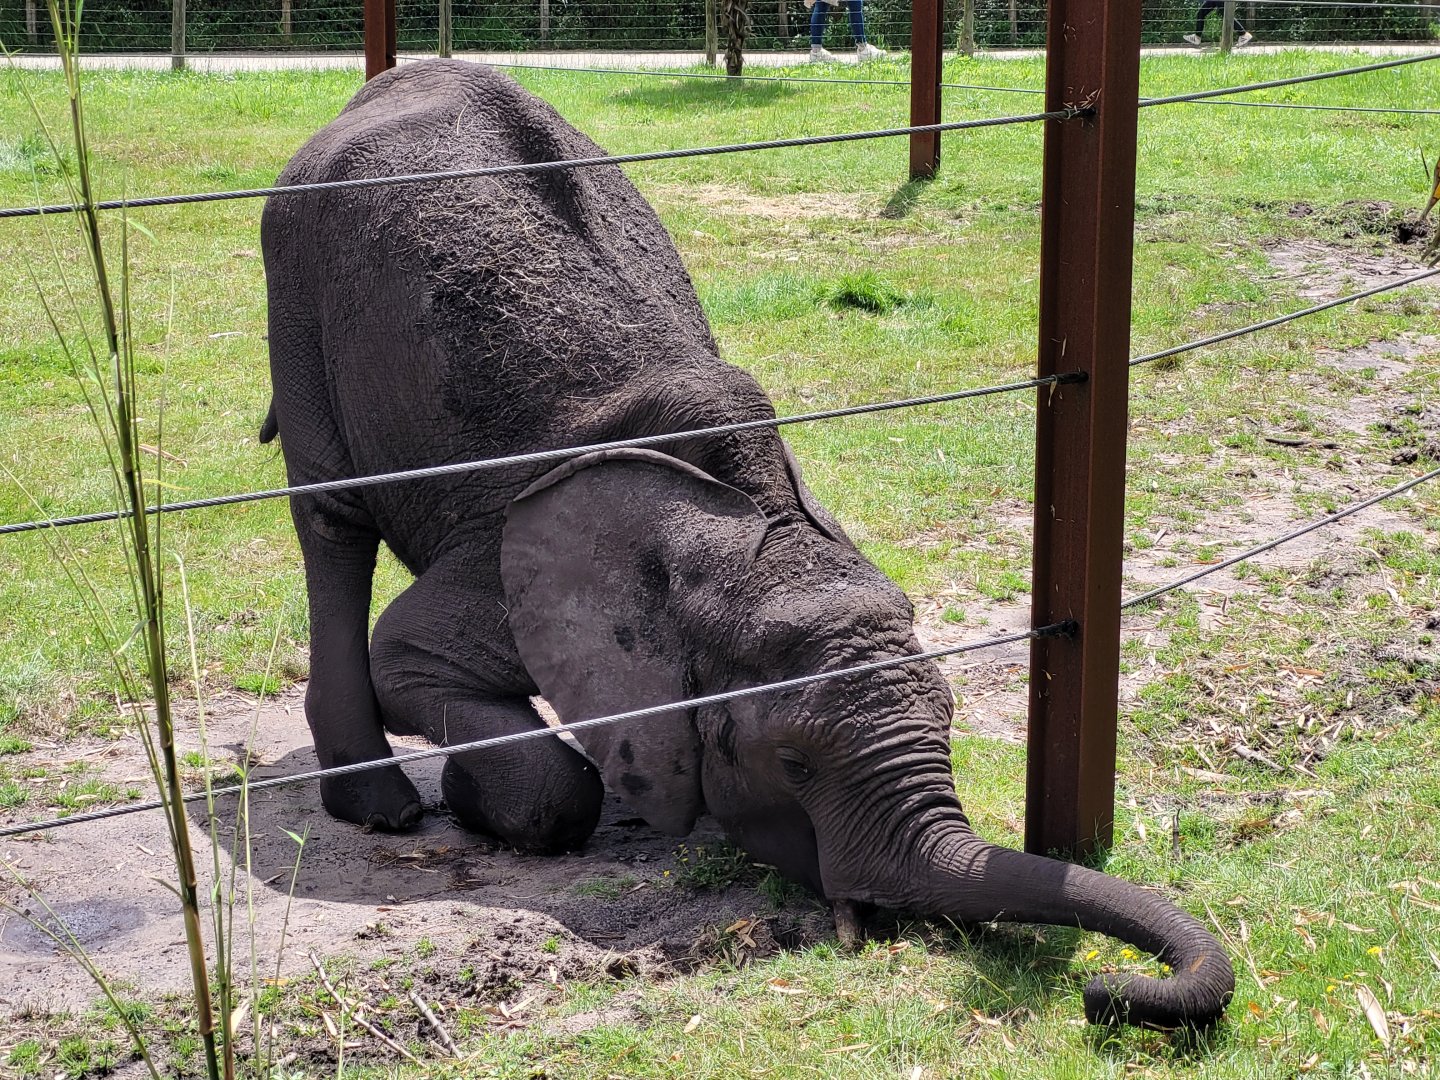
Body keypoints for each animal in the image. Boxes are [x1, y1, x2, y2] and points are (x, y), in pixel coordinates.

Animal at [259, 58, 1234, 1030]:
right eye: (791, 762)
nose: (1109, 993)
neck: (735, 522)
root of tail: (385, 84)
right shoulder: (499, 553)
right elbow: (415, 669)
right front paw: (484, 807)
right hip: (295, 277)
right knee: (331, 522)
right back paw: (379, 808)